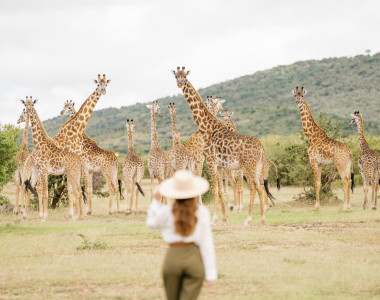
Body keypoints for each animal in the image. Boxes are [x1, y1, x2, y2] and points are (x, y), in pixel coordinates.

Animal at [172, 66, 268, 225]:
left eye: (185, 76)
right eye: (175, 76)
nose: (179, 84)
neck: (206, 128)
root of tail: (261, 148)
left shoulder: (210, 161)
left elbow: (215, 190)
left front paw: (214, 220)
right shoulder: (218, 165)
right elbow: (221, 190)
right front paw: (224, 219)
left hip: (249, 166)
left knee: (253, 187)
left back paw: (248, 219)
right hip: (257, 167)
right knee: (260, 186)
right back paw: (261, 219)